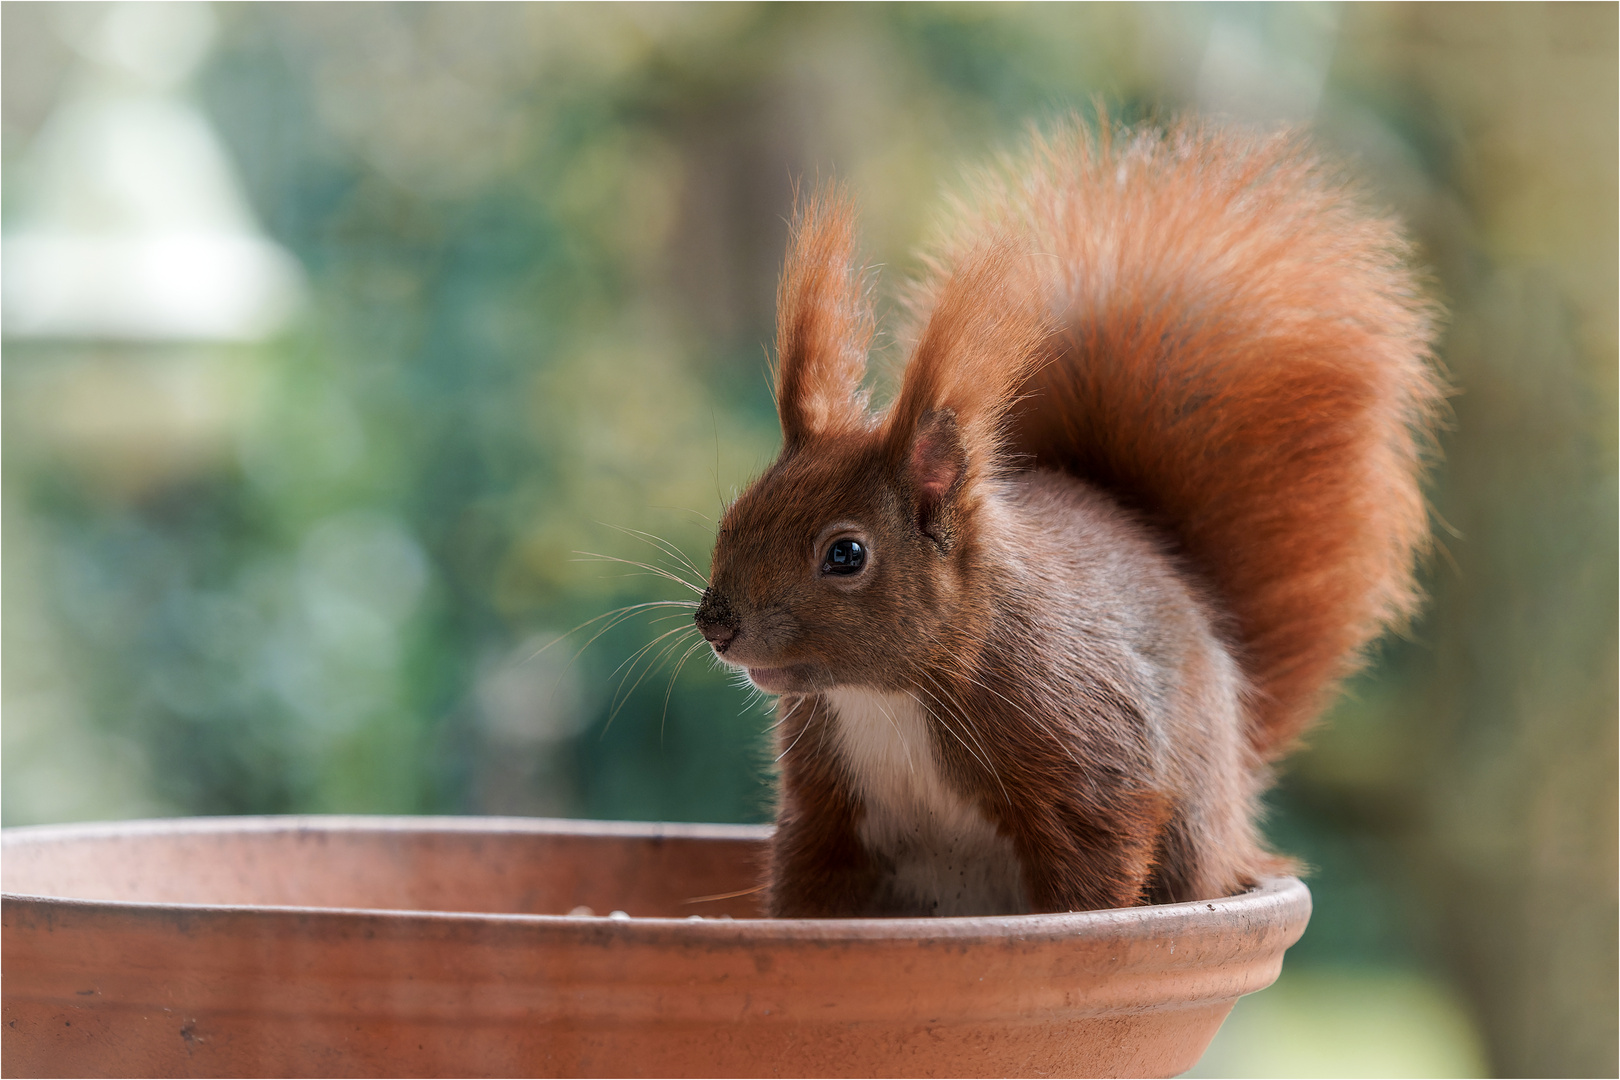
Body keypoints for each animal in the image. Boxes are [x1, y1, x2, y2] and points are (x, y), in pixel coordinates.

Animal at [690, 120, 1438, 919]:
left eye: (845, 555)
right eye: (735, 513)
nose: (715, 624)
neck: (886, 696)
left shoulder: (1086, 750)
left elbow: (1094, 865)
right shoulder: (827, 805)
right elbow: (809, 884)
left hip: (1190, 832)